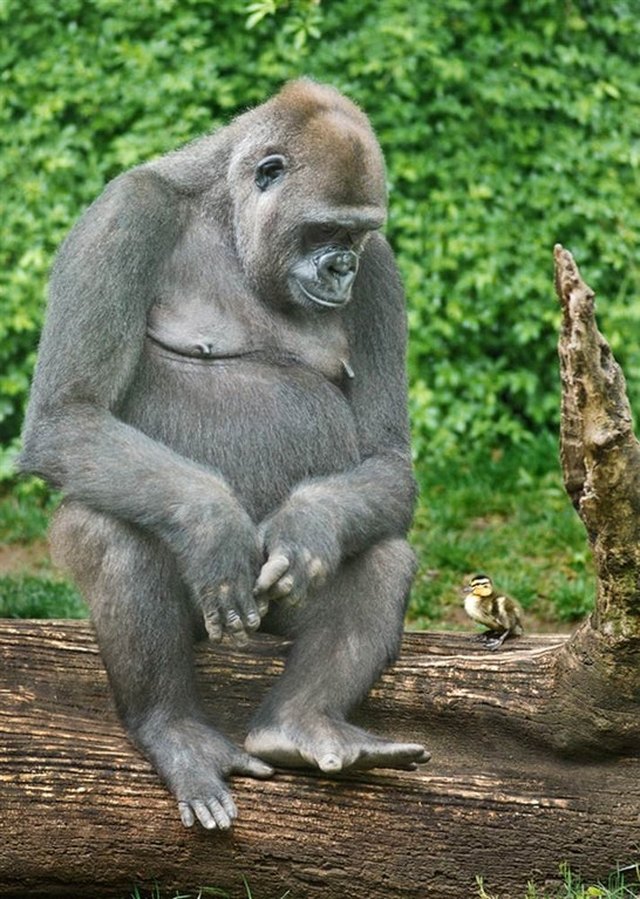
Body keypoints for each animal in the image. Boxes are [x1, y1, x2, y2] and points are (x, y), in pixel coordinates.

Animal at [19, 80, 429, 831]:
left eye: (356, 235)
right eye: (323, 232)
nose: (344, 267)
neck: (226, 213)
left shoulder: (383, 270)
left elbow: (387, 460)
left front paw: (308, 526)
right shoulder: (127, 213)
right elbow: (71, 413)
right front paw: (212, 524)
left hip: (268, 620)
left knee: (383, 552)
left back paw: (301, 723)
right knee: (115, 533)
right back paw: (172, 728)